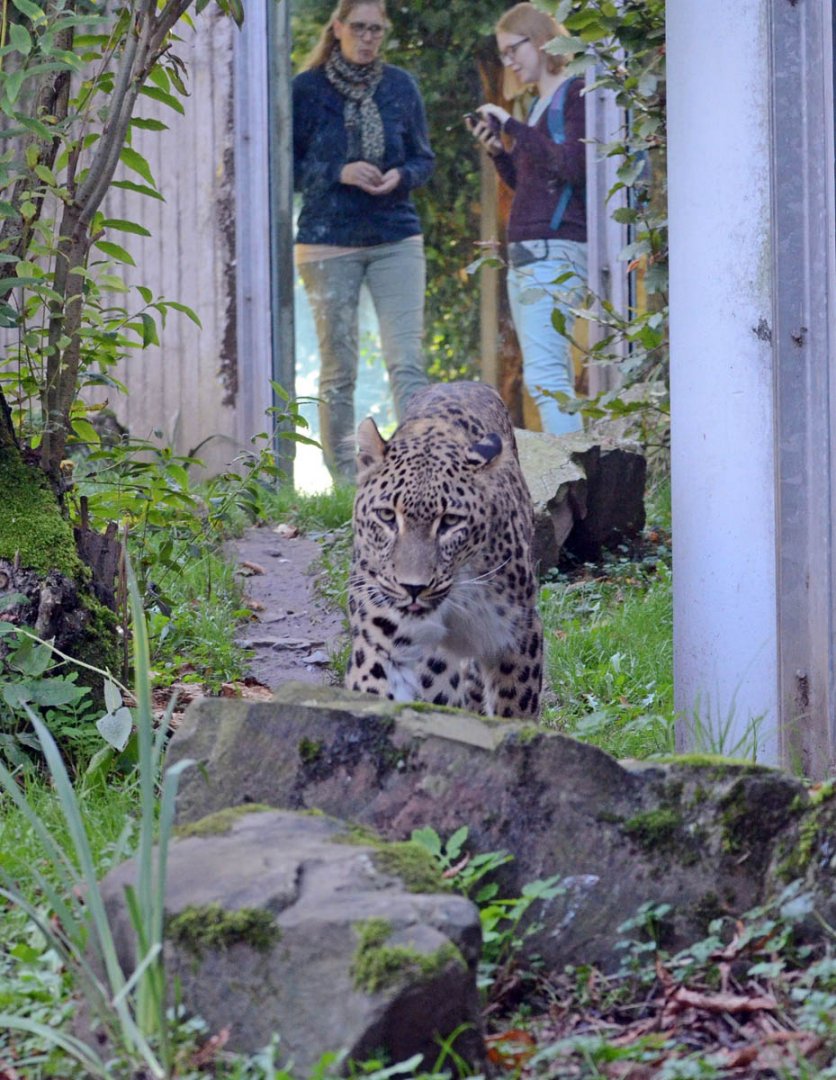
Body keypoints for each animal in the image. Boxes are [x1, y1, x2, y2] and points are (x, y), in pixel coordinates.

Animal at [345, 381, 543, 720]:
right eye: (387, 516)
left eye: (450, 521)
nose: (413, 588)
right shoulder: (381, 637)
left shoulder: (519, 634)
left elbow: (515, 708)